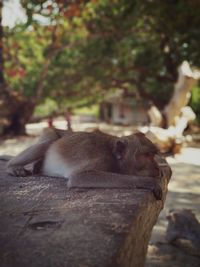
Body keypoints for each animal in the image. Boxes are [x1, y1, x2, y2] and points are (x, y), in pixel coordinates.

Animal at [5, 128, 170, 201]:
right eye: (148, 155)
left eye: (154, 155)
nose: (156, 167)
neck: (114, 157)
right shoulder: (103, 160)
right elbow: (80, 176)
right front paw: (149, 182)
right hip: (48, 135)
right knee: (47, 143)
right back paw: (12, 167)